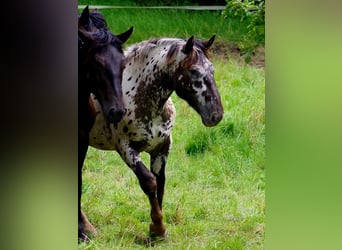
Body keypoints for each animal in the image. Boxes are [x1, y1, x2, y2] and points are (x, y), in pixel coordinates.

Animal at [87, 34, 223, 236]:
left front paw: (157, 229)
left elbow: (160, 183)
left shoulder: (162, 148)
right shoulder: (126, 147)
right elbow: (149, 182)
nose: (216, 115)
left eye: (212, 69)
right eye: (193, 71)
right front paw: (157, 228)